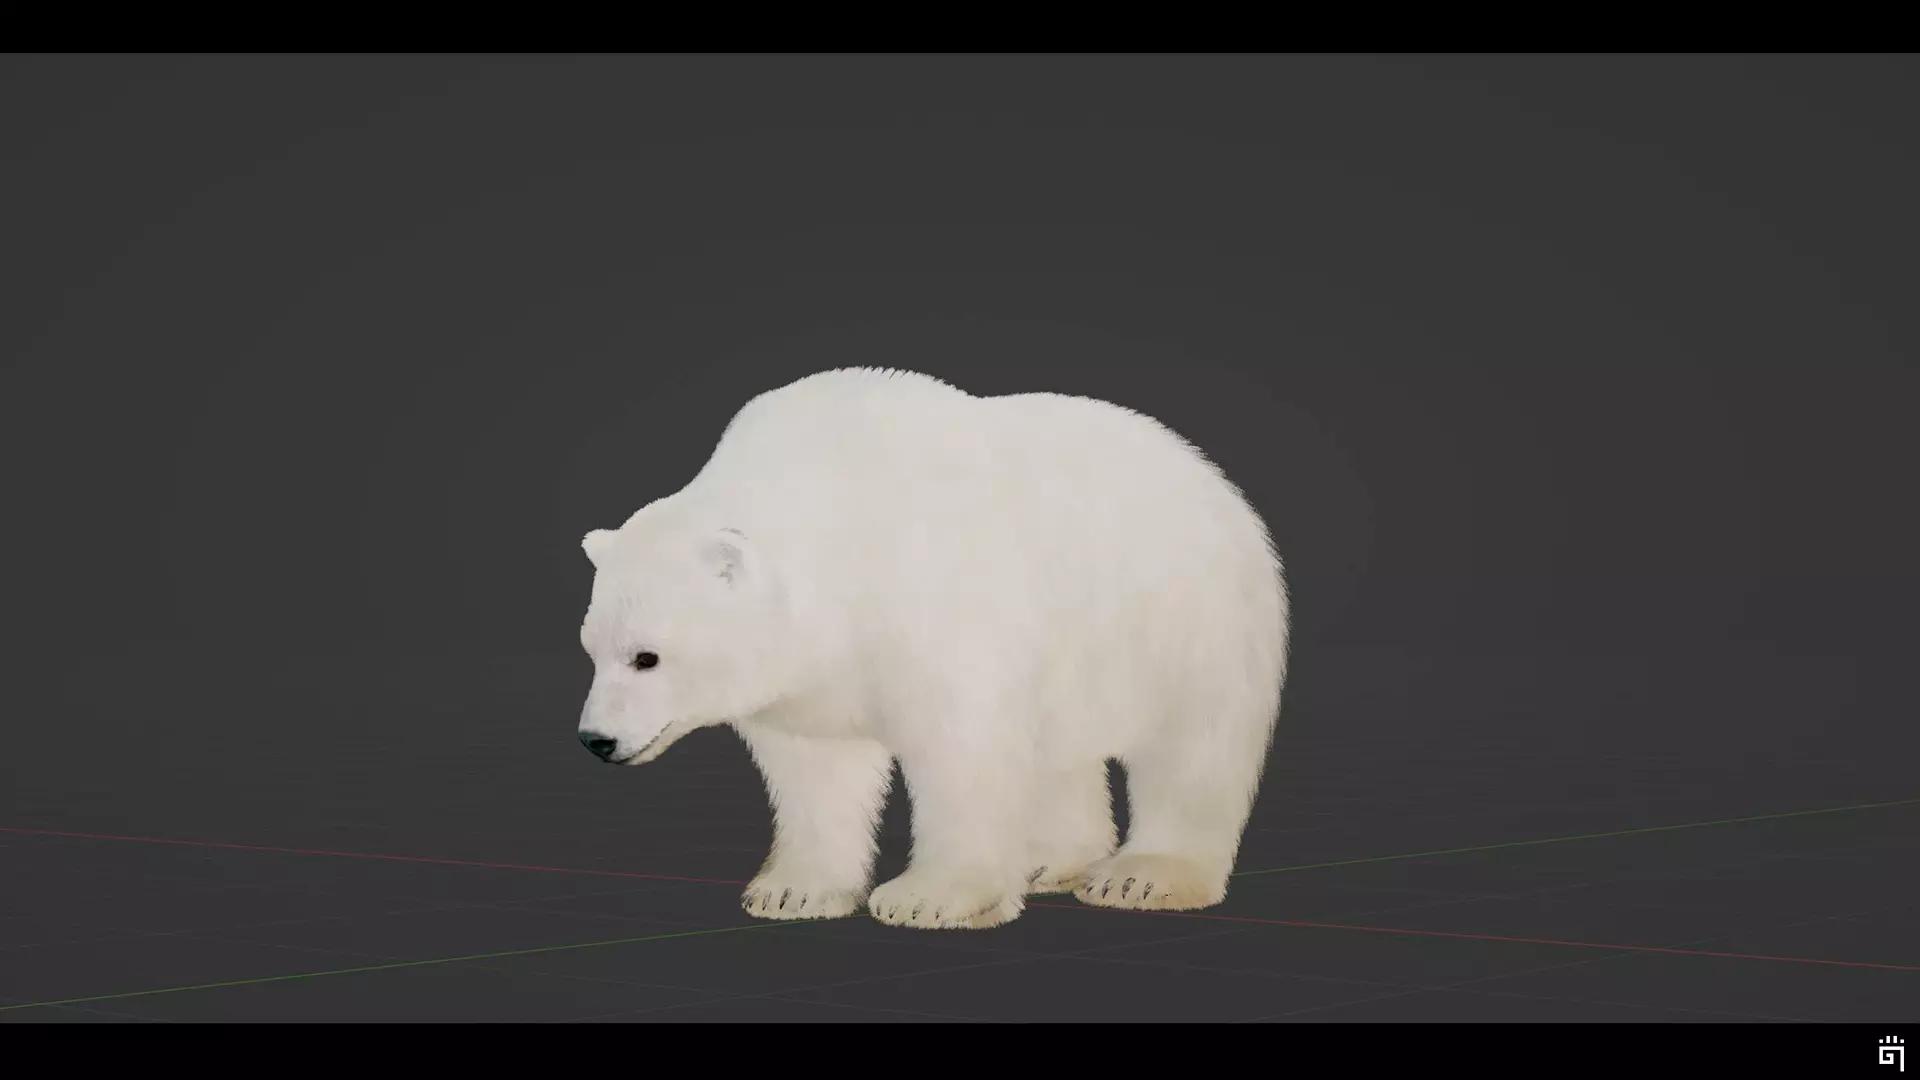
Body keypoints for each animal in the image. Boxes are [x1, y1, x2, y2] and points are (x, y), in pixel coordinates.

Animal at [575, 368, 1288, 929]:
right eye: (591, 649)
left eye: (646, 656)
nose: (596, 740)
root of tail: (1208, 471)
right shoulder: (811, 673)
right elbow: (817, 767)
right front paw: (791, 891)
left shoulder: (941, 610)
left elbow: (963, 751)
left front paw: (929, 900)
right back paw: (1047, 859)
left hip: (1190, 618)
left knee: (1194, 746)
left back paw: (1142, 875)